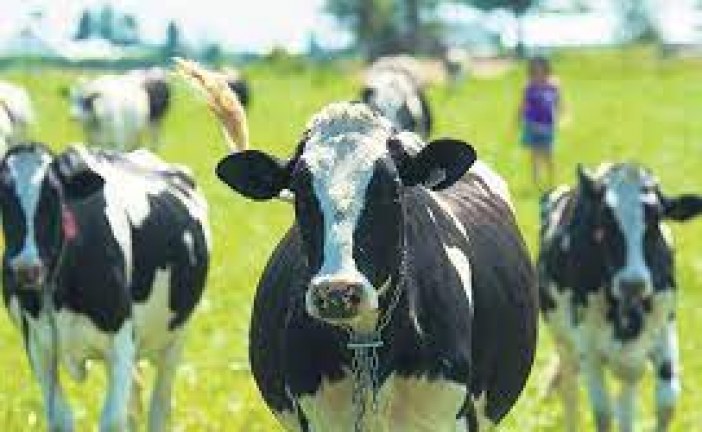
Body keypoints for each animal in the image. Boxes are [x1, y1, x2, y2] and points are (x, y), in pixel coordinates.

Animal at [0, 143, 210, 431]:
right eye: (2, 197)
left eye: (54, 196)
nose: (25, 269)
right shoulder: (37, 346)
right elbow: (61, 419)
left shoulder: (121, 341)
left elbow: (112, 420)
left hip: (176, 336)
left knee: (159, 408)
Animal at [538, 163, 702, 432]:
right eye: (605, 221)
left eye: (657, 220)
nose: (632, 283)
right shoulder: (588, 347)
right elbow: (603, 413)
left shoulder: (664, 331)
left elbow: (667, 403)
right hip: (563, 341)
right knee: (569, 391)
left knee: (626, 396)